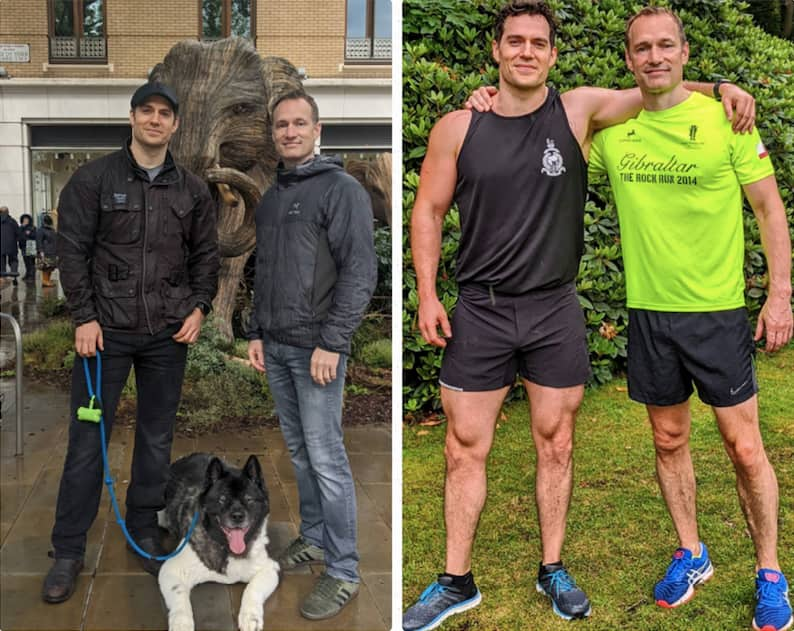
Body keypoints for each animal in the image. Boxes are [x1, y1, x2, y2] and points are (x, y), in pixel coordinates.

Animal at [157, 454, 278, 631]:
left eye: (249, 499)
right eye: (222, 499)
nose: (237, 516)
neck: (225, 547)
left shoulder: (269, 568)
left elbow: (253, 589)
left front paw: (250, 616)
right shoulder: (170, 570)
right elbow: (180, 597)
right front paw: (181, 622)